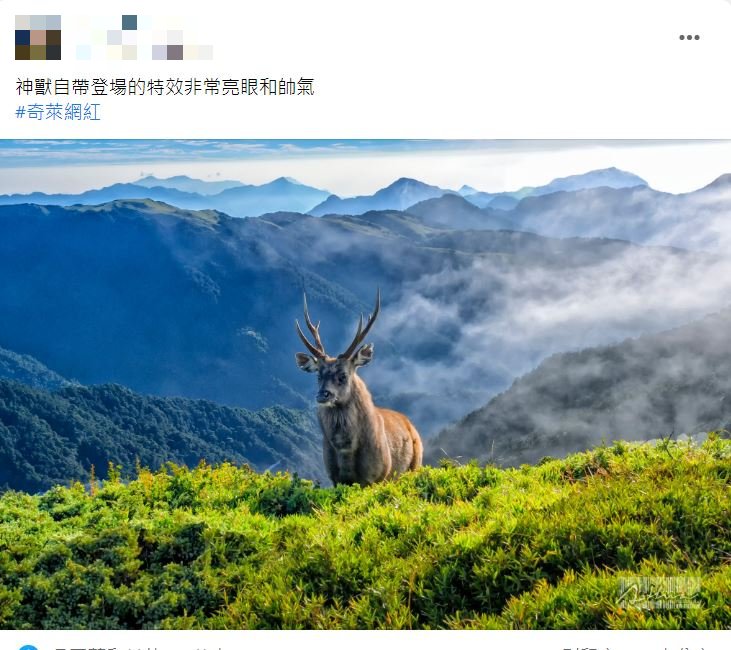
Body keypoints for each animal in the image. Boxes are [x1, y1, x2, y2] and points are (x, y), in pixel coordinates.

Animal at [295, 289, 423, 486]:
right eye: (318, 376)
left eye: (343, 375)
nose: (323, 395)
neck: (346, 451)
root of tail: (411, 425)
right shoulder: (334, 478)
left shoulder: (378, 476)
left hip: (414, 466)